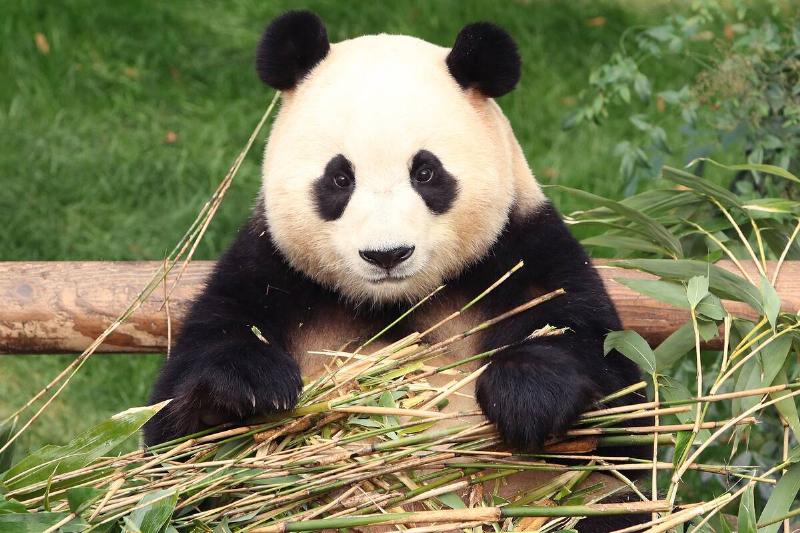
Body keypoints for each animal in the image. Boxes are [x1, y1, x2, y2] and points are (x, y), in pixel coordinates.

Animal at [145, 11, 644, 528]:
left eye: (425, 173)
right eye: (340, 178)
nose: (387, 254)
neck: (394, 305)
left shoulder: (525, 251)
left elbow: (618, 399)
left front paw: (528, 394)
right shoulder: (268, 270)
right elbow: (171, 438)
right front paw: (250, 387)